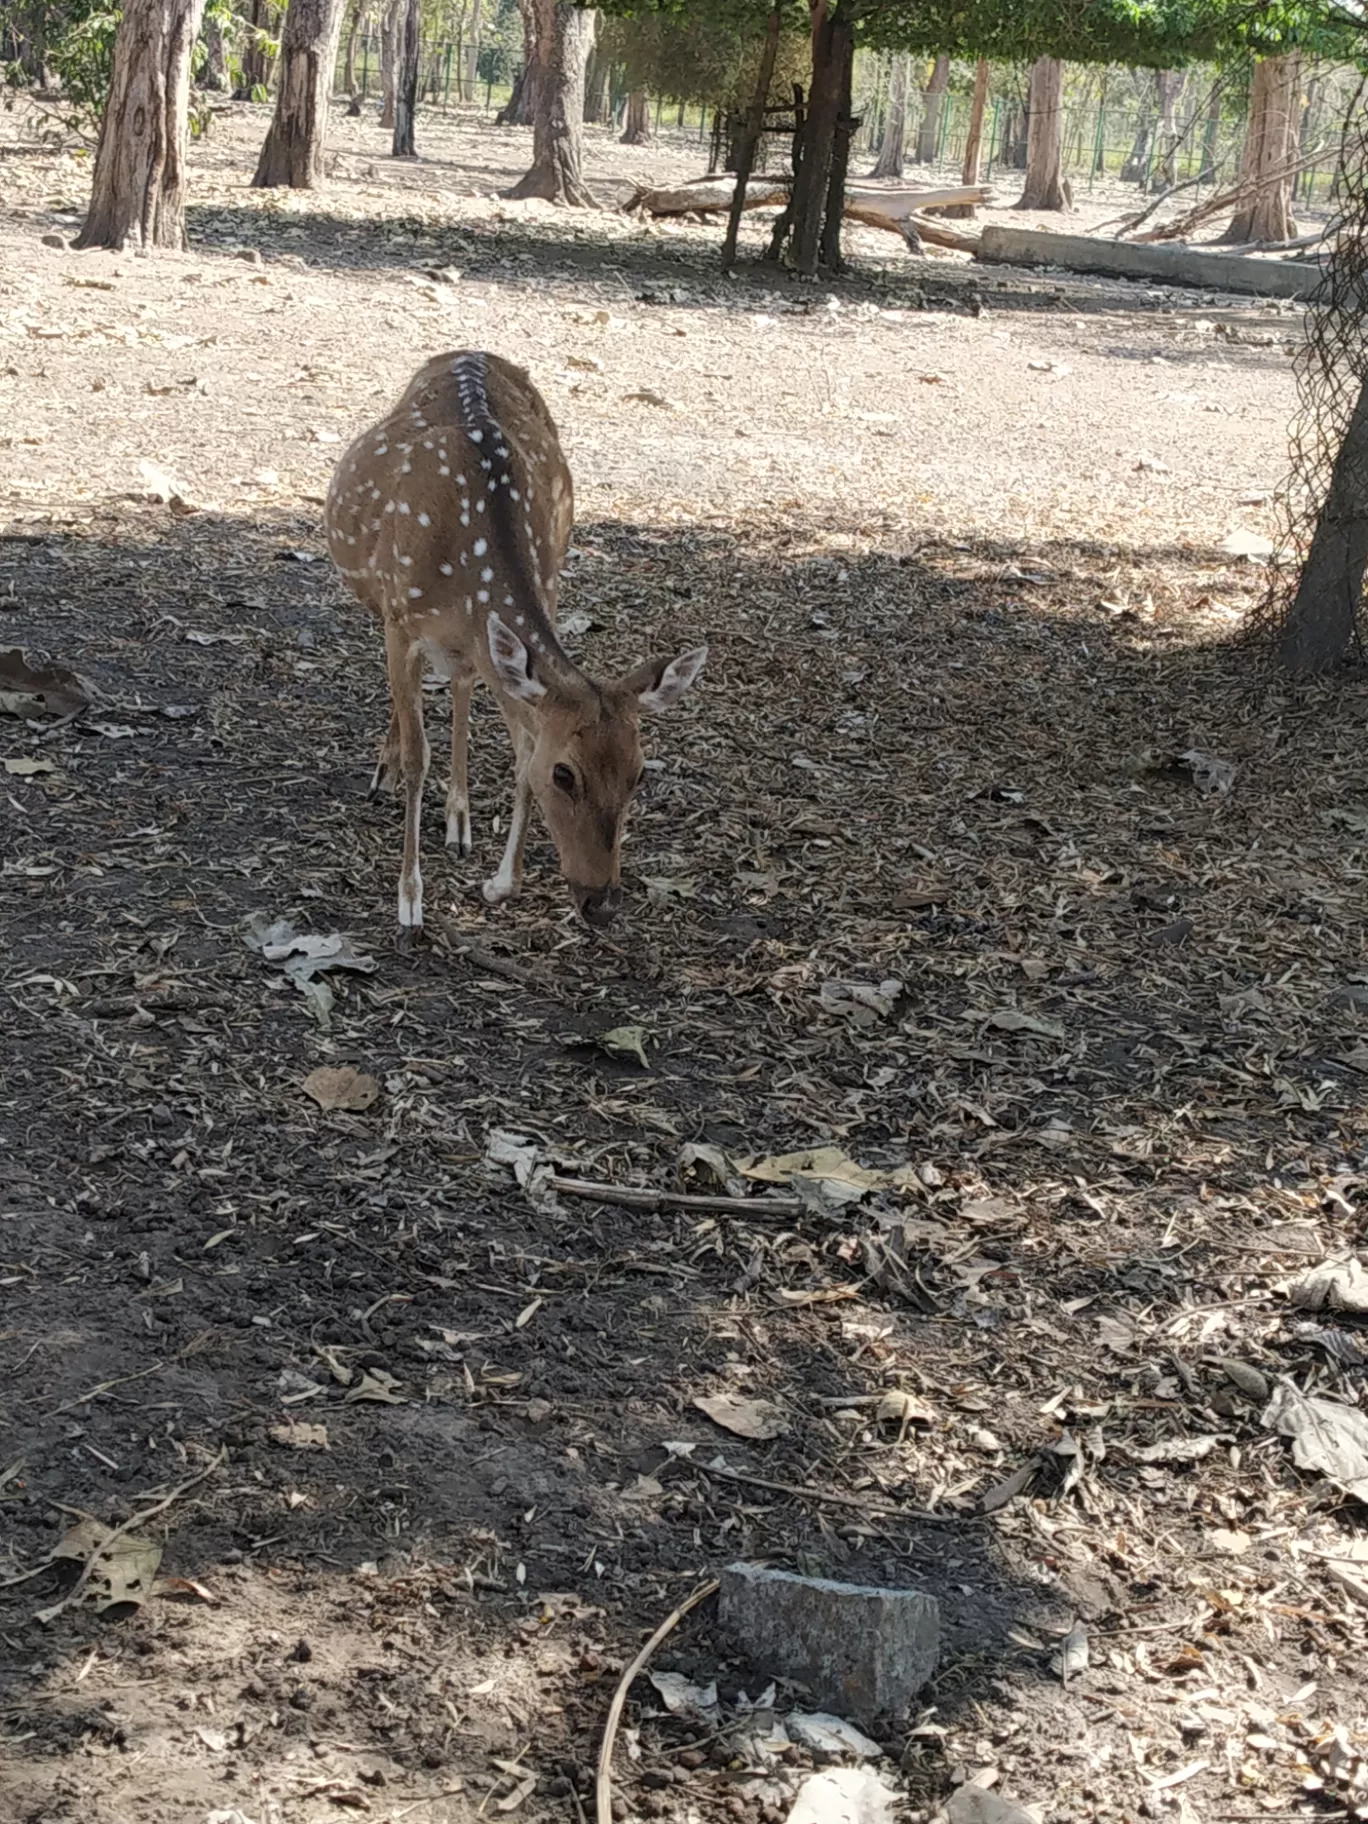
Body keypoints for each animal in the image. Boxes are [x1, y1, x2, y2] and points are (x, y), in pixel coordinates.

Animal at [322, 348, 707, 933]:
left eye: (639, 773)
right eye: (565, 774)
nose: (602, 903)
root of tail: (467, 351)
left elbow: (522, 752)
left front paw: (502, 882)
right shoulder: (400, 621)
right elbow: (418, 756)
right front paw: (409, 900)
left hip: (481, 641)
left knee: (461, 683)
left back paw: (459, 820)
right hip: (386, 604)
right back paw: (387, 775)